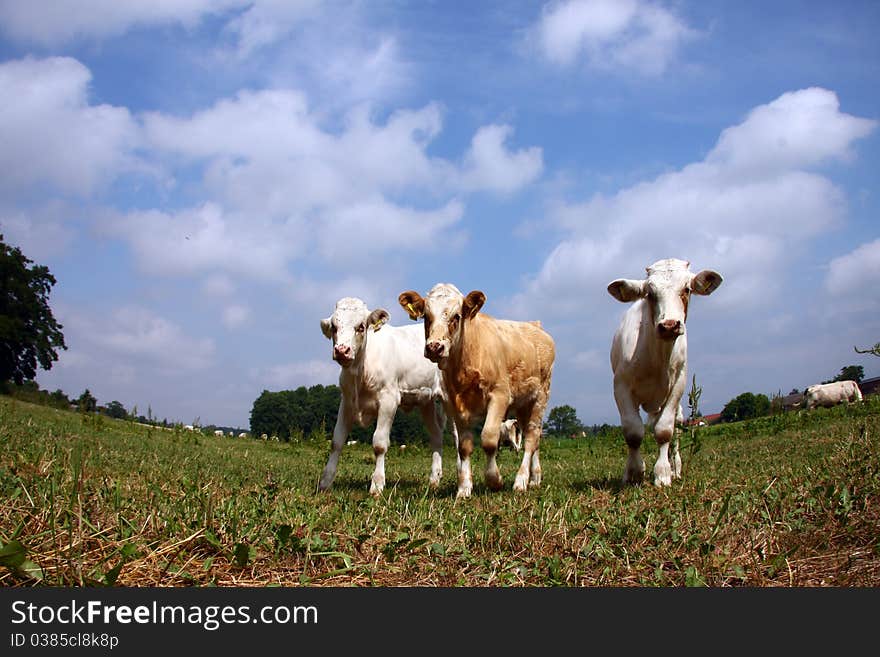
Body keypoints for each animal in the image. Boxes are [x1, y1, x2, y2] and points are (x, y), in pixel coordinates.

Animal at [316, 294, 458, 494]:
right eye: (334, 327)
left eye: (361, 326)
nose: (342, 350)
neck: (361, 371)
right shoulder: (347, 401)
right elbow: (337, 441)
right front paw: (325, 482)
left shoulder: (389, 400)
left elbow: (379, 443)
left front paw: (377, 484)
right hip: (426, 402)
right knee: (437, 436)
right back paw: (434, 480)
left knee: (458, 438)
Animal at [400, 282, 552, 498]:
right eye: (426, 317)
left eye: (457, 316)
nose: (434, 347)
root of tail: (535, 326)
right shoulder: (454, 403)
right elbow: (463, 446)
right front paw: (464, 488)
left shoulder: (500, 396)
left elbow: (488, 439)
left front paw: (494, 480)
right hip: (524, 404)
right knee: (535, 436)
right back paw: (534, 478)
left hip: (540, 397)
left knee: (531, 438)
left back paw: (521, 481)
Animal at [604, 258, 720, 484]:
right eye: (650, 293)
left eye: (687, 288)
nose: (669, 325)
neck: (656, 359)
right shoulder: (620, 386)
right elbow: (633, 431)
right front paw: (634, 471)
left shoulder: (678, 385)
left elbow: (664, 431)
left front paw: (663, 473)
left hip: (678, 408)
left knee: (675, 432)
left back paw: (676, 468)